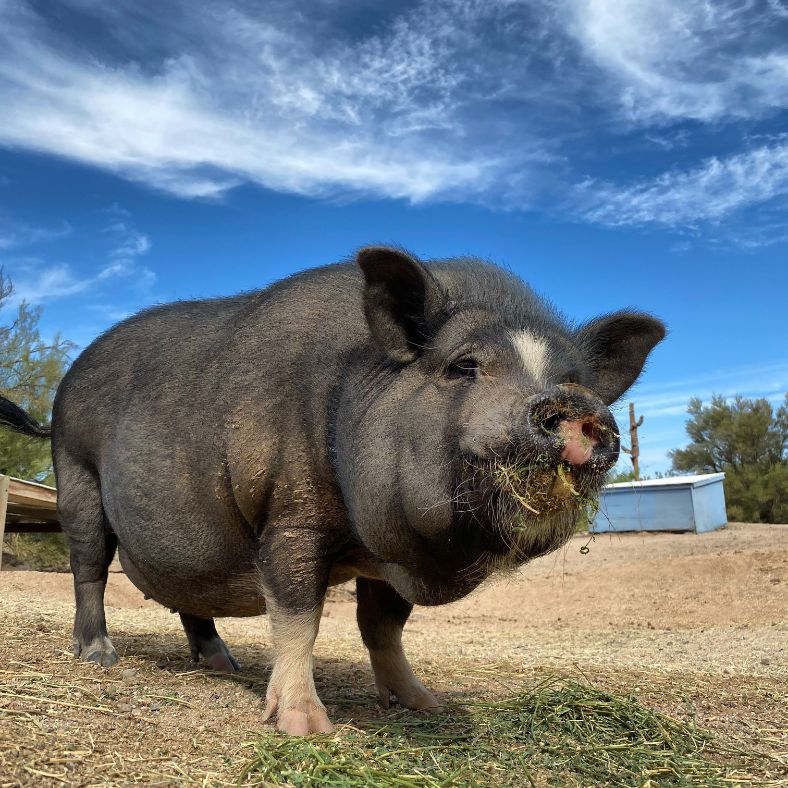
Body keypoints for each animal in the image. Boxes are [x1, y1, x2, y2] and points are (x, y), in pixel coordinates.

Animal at [0, 246, 664, 732]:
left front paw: (425, 704)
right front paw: (305, 727)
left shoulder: (385, 552)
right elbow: (299, 617)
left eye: (573, 378)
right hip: (75, 474)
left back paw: (222, 663)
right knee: (89, 568)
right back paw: (99, 655)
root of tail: (62, 389)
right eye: (463, 365)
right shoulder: (287, 514)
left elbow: (385, 628)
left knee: (191, 593)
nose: (576, 405)